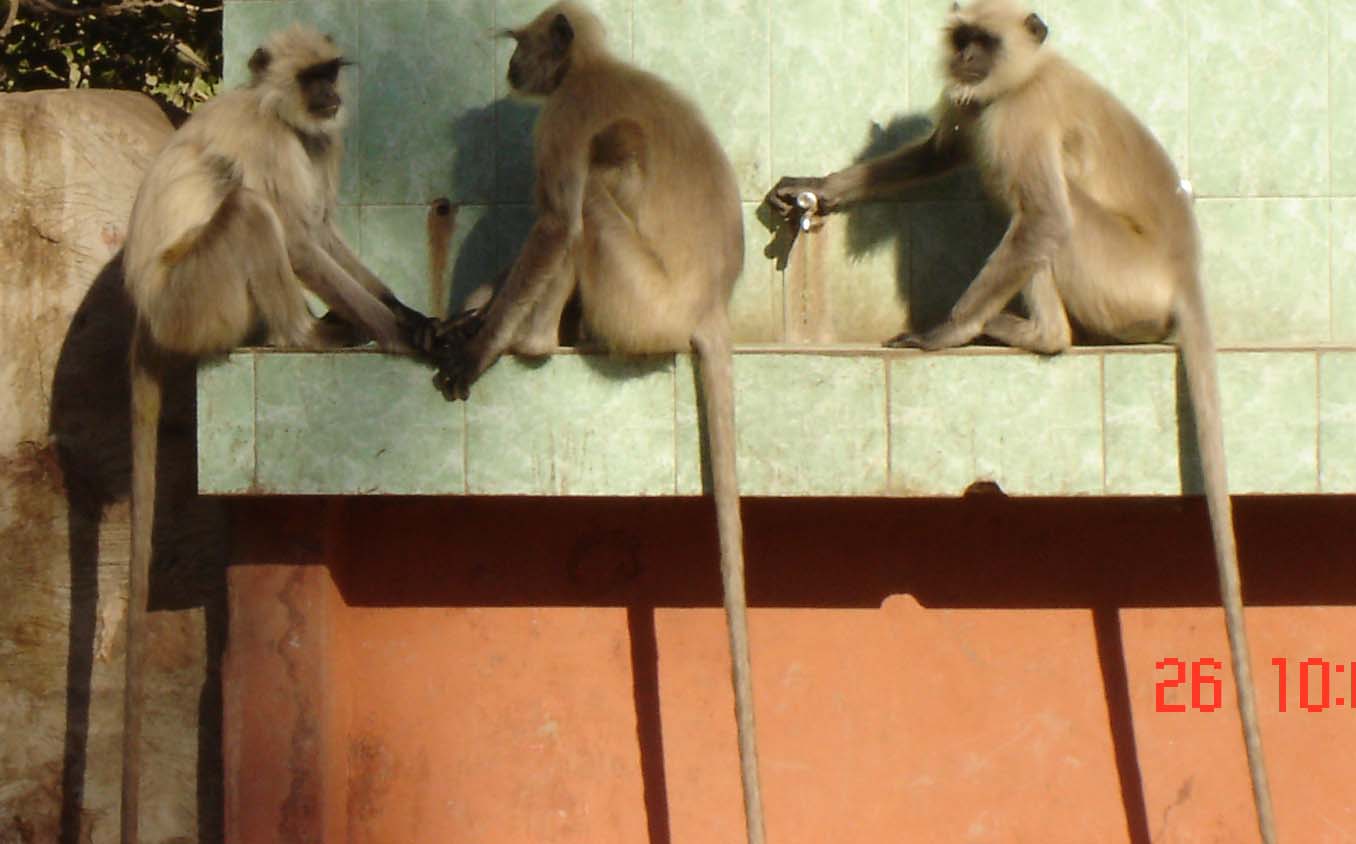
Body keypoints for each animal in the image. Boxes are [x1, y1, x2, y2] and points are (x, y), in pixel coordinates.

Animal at [121, 23, 431, 841]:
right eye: (313, 76)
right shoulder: (270, 137)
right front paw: (406, 337)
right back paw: (306, 334)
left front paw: (416, 318)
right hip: (195, 297)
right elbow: (298, 238)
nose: (330, 96)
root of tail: (146, 314)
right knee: (254, 214)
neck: (285, 116)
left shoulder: (320, 141)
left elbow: (324, 232)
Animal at [433, 3, 770, 841]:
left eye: (523, 47)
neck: (594, 68)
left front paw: (478, 348)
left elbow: (555, 224)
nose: (514, 68)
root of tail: (709, 306)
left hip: (640, 298)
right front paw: (466, 320)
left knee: (591, 194)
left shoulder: (562, 116)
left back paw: (533, 339)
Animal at [770, 3, 1274, 841]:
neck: (1025, 75)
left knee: (1044, 215)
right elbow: (944, 147)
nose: (970, 61)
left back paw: (1035, 335)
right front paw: (818, 189)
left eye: (987, 41)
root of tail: (1185, 273)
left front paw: (945, 332)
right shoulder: (985, 105)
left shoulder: (1023, 114)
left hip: (1115, 274)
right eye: (963, 40)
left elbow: (1038, 216)